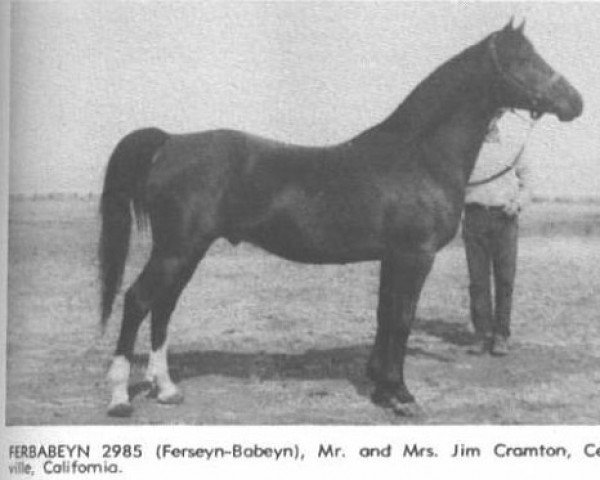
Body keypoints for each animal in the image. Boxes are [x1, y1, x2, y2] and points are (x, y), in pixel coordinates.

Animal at [99, 21, 580, 416]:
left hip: (187, 250)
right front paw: (402, 397)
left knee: (163, 306)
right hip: (176, 249)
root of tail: (170, 142)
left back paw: (166, 389)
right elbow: (401, 318)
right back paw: (121, 398)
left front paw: (382, 388)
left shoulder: (393, 258)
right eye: (523, 59)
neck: (419, 156)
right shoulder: (414, 256)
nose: (575, 102)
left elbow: (386, 316)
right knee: (137, 301)